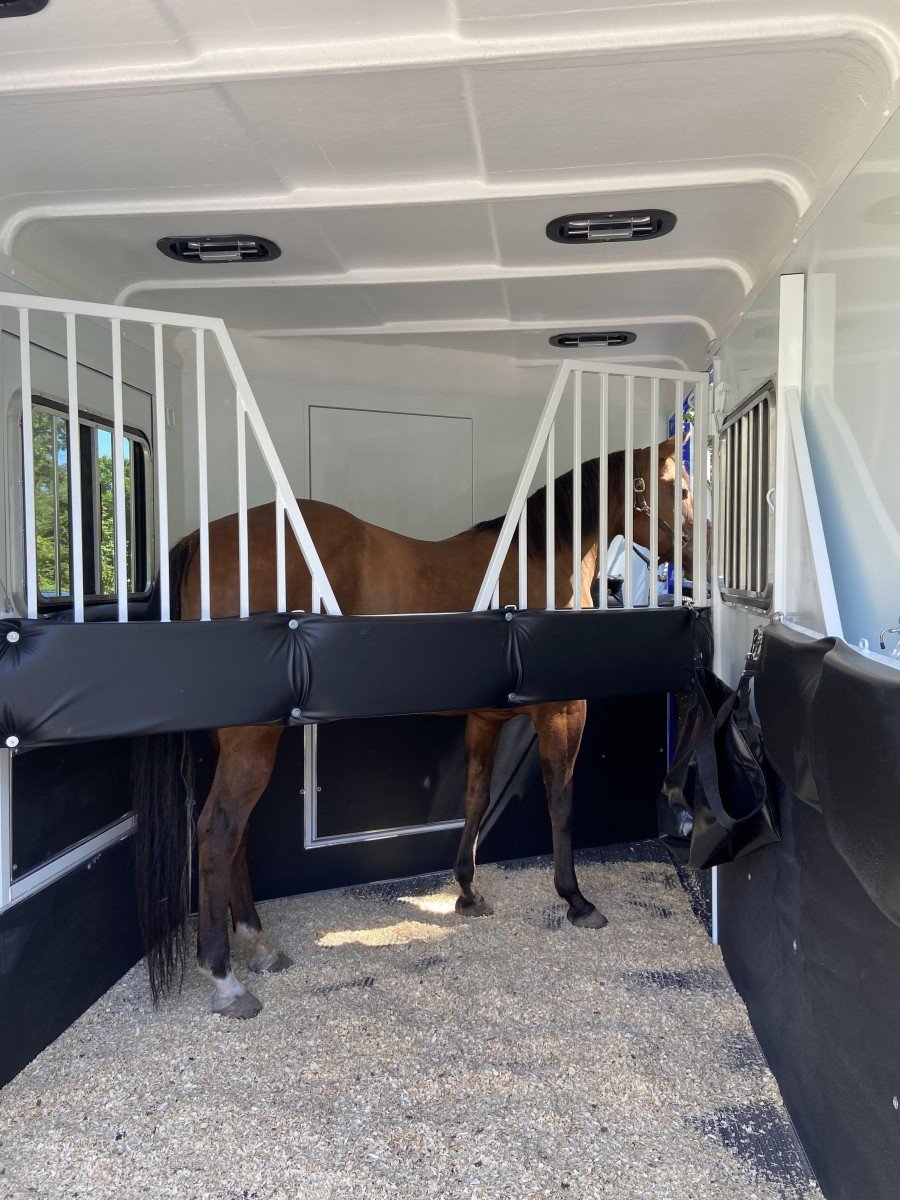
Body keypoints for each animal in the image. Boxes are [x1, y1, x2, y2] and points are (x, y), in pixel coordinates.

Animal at [135, 436, 696, 1017]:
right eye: (677, 487)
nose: (696, 559)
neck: (541, 560)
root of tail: (204, 539)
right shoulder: (563, 712)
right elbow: (561, 805)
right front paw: (577, 900)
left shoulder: (484, 718)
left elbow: (476, 798)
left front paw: (468, 893)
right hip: (252, 739)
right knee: (219, 830)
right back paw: (224, 976)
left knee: (236, 833)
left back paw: (259, 944)